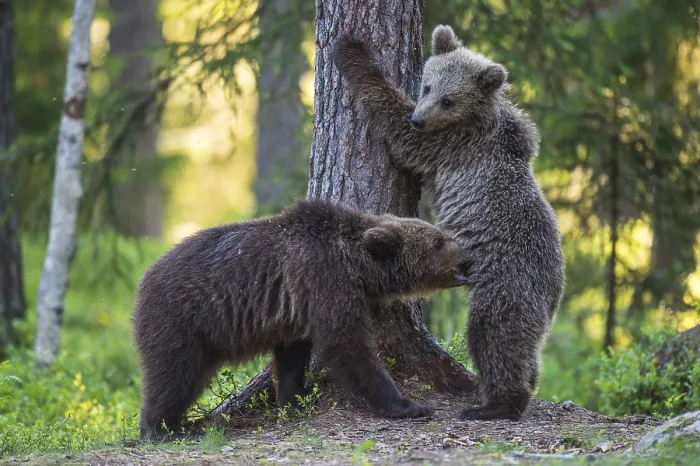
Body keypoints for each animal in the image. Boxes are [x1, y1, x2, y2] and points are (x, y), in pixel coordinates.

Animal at [132, 199, 471, 440]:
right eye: (438, 241)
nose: (467, 251)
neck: (358, 265)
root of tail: (143, 280)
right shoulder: (325, 278)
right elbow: (347, 345)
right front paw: (409, 405)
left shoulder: (297, 308)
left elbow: (291, 358)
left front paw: (293, 401)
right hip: (181, 321)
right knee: (174, 375)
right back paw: (162, 429)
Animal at [331, 26, 566, 422]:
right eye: (427, 86)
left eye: (448, 100)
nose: (419, 118)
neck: (476, 120)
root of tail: (556, 289)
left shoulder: (449, 146)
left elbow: (399, 129)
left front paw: (354, 52)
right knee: (525, 348)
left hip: (508, 281)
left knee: (494, 334)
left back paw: (496, 405)